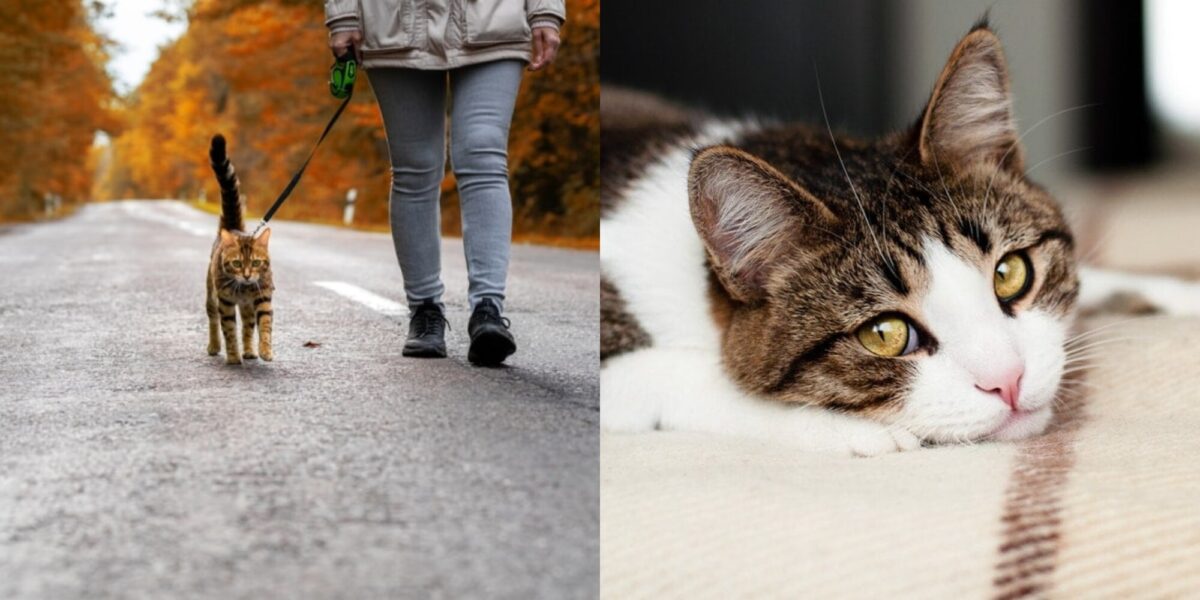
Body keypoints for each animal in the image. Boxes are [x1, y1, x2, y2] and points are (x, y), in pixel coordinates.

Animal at [206, 133, 274, 362]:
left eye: (256, 262)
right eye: (236, 263)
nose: (246, 275)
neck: (244, 288)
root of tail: (231, 227)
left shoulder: (263, 297)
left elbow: (265, 325)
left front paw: (265, 350)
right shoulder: (225, 302)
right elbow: (228, 331)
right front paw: (234, 357)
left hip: (247, 307)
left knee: (247, 326)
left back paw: (250, 351)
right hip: (211, 295)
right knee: (213, 320)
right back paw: (214, 346)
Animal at [600, 22, 1200, 453]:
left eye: (1011, 274)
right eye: (885, 334)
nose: (1008, 380)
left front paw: (1174, 293)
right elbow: (682, 373)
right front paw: (852, 429)